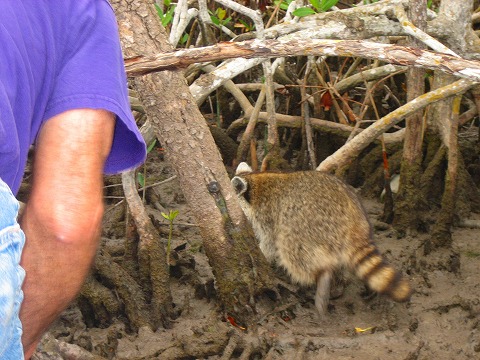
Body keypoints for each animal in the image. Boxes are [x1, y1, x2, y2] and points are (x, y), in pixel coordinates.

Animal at [231, 163, 410, 316]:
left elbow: (269, 243)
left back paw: (318, 275)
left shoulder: (267, 215)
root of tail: (354, 216)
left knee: (293, 250)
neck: (254, 184)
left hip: (306, 222)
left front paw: (262, 257)